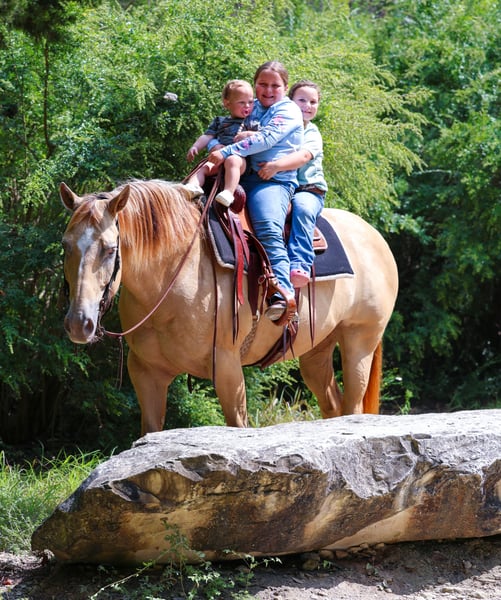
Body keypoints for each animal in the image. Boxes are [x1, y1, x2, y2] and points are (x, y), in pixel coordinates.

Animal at [60, 179, 398, 435]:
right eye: (66, 245)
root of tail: (374, 237)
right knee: (333, 407)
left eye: (109, 249)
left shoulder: (227, 367)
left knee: (352, 406)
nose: (79, 323)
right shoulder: (145, 373)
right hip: (317, 354)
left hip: (359, 344)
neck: (174, 275)